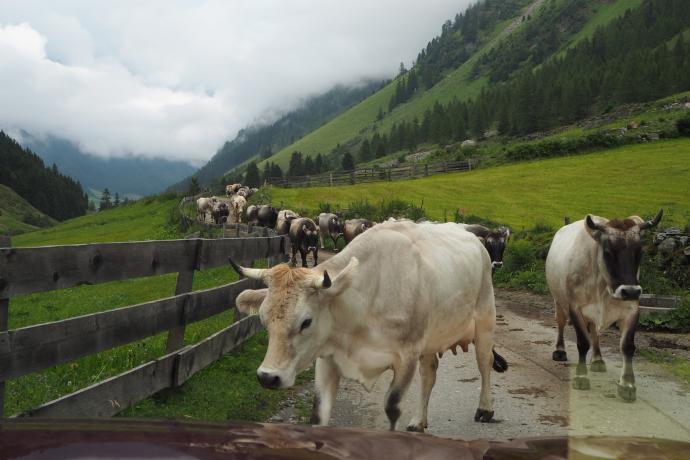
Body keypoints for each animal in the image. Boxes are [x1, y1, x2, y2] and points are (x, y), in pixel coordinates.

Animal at [231, 221, 506, 434]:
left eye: (306, 321)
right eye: (264, 320)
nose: (268, 377)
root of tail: (474, 238)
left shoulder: (406, 357)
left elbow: (392, 408)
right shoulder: (327, 357)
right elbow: (318, 413)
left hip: (485, 320)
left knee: (484, 362)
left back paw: (485, 408)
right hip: (430, 338)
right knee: (429, 374)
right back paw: (418, 421)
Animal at [544, 210, 660, 400]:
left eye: (639, 252)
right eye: (608, 252)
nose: (631, 292)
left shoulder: (632, 310)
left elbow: (627, 346)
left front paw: (627, 384)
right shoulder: (575, 308)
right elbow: (583, 343)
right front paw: (581, 377)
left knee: (594, 331)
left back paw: (598, 359)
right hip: (559, 301)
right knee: (560, 323)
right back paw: (560, 351)